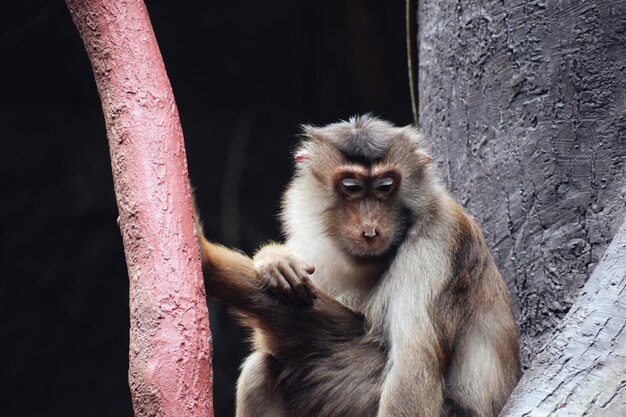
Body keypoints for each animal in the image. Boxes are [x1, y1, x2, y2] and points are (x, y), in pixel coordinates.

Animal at [197, 114, 520, 416]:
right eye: (351, 187)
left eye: (385, 186)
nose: (370, 229)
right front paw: (275, 259)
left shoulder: (437, 238)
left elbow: (412, 364)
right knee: (261, 366)